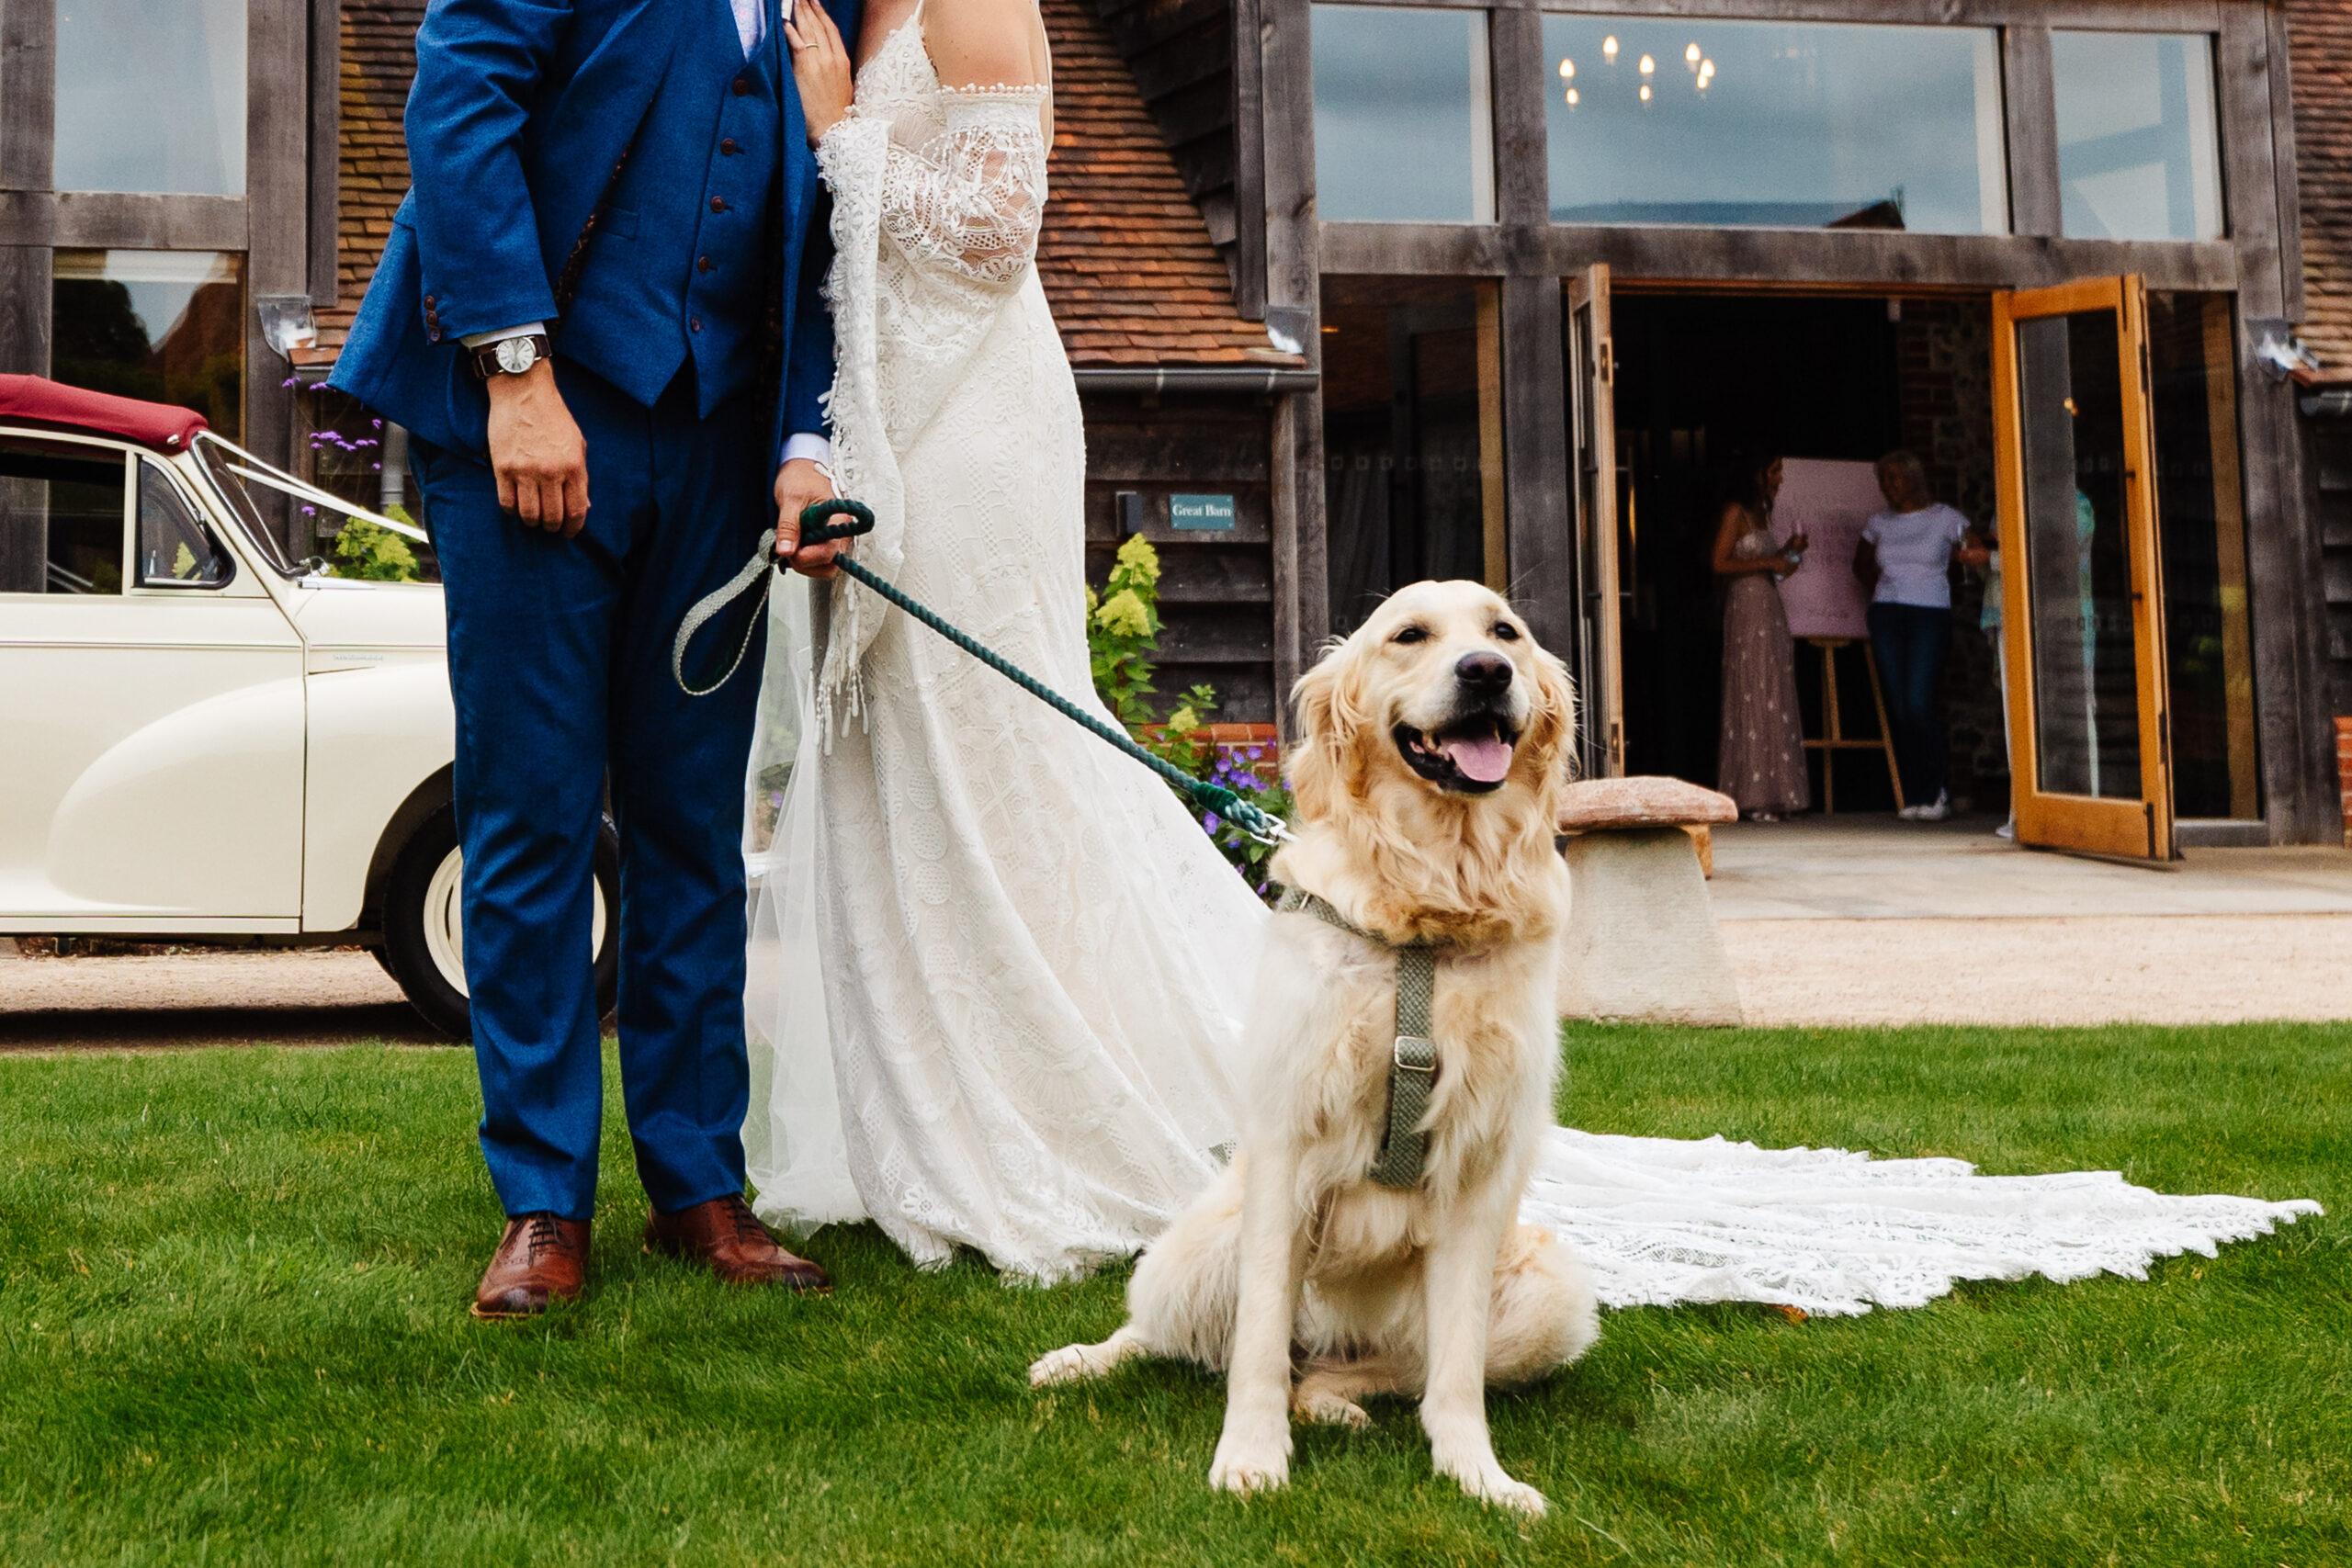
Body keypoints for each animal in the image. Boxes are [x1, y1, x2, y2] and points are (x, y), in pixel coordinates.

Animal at [1030, 581, 1599, 1523]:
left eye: (1505, 631)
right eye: (1410, 635)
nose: (1487, 671)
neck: (1429, 914)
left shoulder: (1480, 1174)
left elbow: (1454, 1377)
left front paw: (1477, 1474)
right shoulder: (1288, 1149)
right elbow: (1256, 1347)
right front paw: (1251, 1457)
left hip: (1553, 1289)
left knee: (1370, 1371)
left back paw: (1333, 1399)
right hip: (1202, 1242)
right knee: (1167, 1332)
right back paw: (1080, 1361)